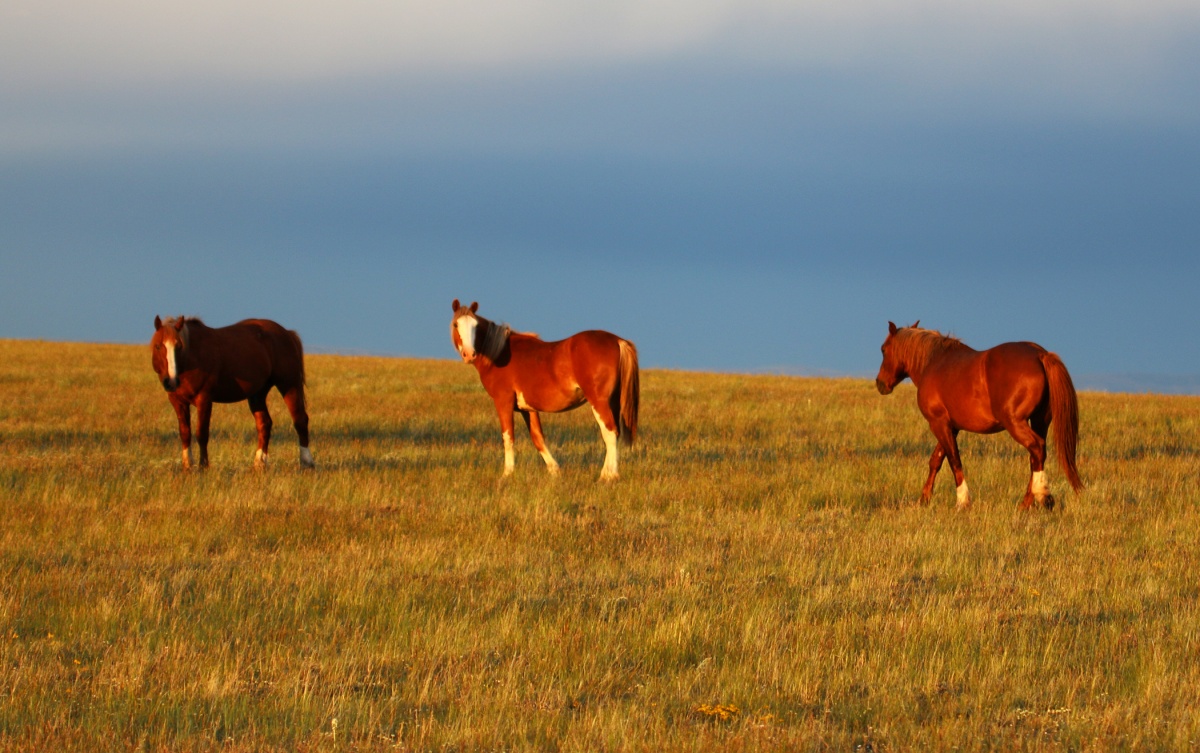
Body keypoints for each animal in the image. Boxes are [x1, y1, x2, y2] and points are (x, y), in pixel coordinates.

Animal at [148, 316, 314, 470]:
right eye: (158, 346)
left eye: (179, 346)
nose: (171, 381)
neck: (192, 358)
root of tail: (287, 333)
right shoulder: (178, 401)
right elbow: (184, 433)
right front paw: (187, 466)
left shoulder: (204, 399)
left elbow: (201, 433)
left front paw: (203, 466)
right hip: (257, 394)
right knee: (264, 423)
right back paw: (259, 463)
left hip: (289, 385)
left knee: (300, 420)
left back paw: (307, 462)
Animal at [448, 298, 638, 479]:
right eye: (456, 324)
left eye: (475, 326)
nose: (469, 354)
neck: (499, 354)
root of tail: (617, 340)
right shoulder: (528, 408)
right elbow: (537, 438)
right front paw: (555, 471)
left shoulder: (503, 401)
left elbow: (508, 437)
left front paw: (507, 474)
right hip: (613, 402)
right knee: (615, 433)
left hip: (599, 401)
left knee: (609, 432)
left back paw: (608, 476)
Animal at [878, 321, 1084, 508]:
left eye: (883, 349)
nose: (880, 384)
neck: (934, 362)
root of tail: (1040, 354)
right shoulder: (951, 426)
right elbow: (936, 460)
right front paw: (924, 499)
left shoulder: (938, 423)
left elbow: (954, 460)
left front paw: (962, 501)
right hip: (1040, 421)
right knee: (1036, 457)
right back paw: (1026, 503)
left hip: (1015, 423)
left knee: (1037, 448)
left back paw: (1043, 495)